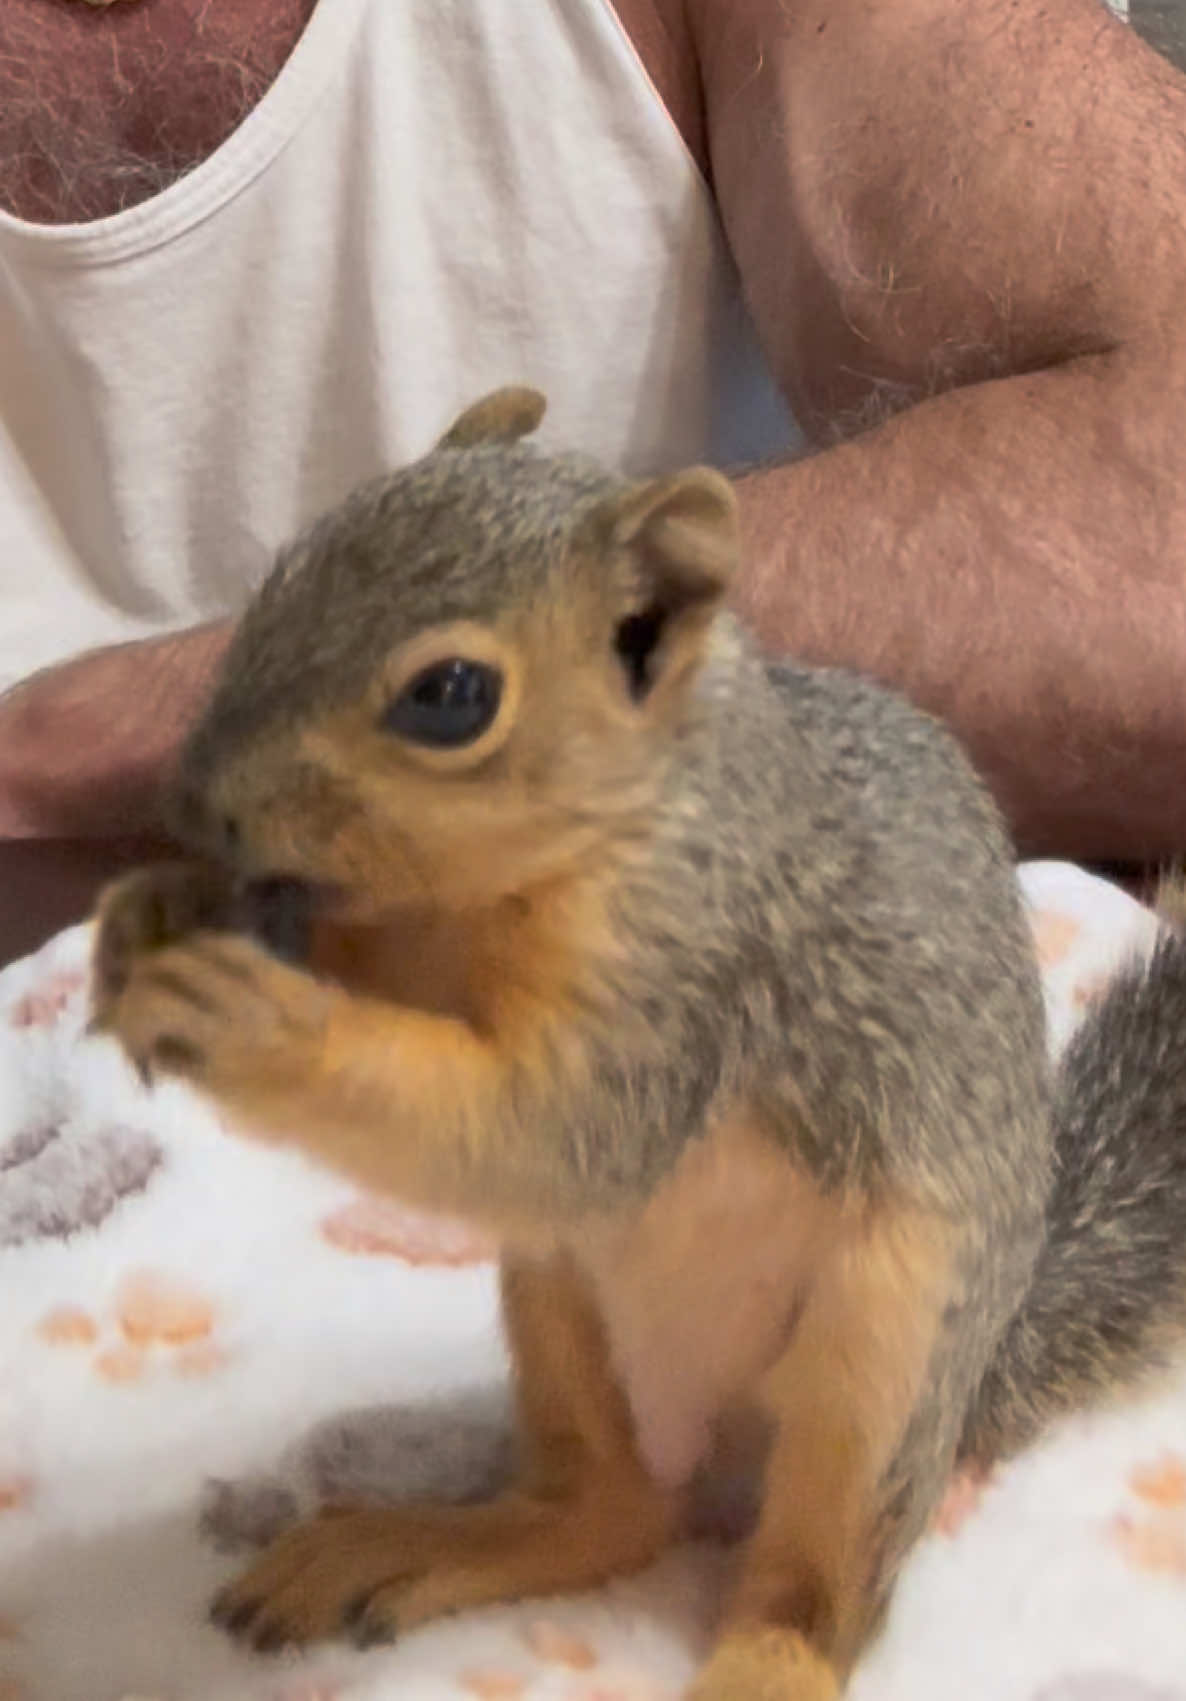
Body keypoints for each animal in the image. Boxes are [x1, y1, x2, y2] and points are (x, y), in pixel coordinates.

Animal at [90, 387, 1186, 1701]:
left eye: (449, 695)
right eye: (285, 571)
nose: (194, 806)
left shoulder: (693, 970)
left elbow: (558, 1133)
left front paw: (259, 1017)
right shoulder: (425, 942)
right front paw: (157, 912)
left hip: (885, 1359)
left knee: (816, 1580)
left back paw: (765, 1661)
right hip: (558, 1307)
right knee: (613, 1514)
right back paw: (416, 1546)